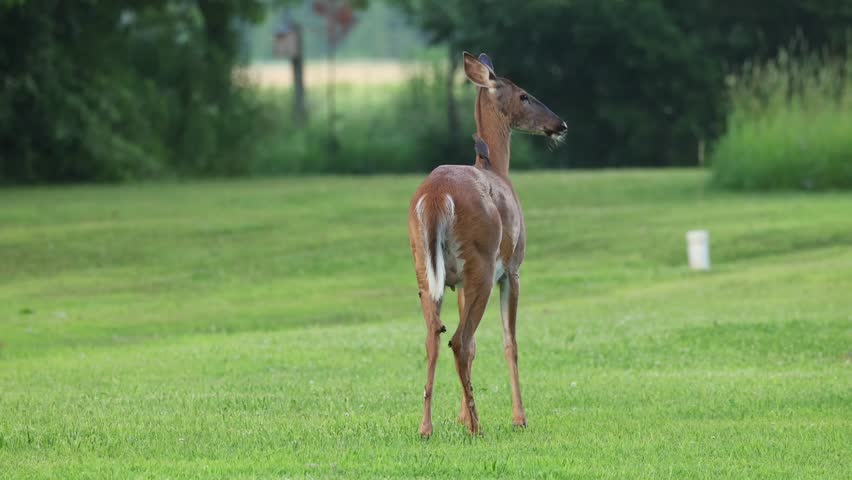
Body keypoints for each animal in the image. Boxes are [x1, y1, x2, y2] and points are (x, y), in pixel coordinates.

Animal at [408, 52, 567, 437]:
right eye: (524, 95)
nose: (561, 124)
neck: (496, 168)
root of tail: (436, 197)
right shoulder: (513, 269)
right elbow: (510, 342)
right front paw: (519, 417)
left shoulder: (458, 283)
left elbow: (479, 344)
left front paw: (460, 415)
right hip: (481, 262)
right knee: (459, 340)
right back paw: (477, 427)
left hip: (424, 268)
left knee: (434, 336)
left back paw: (426, 426)